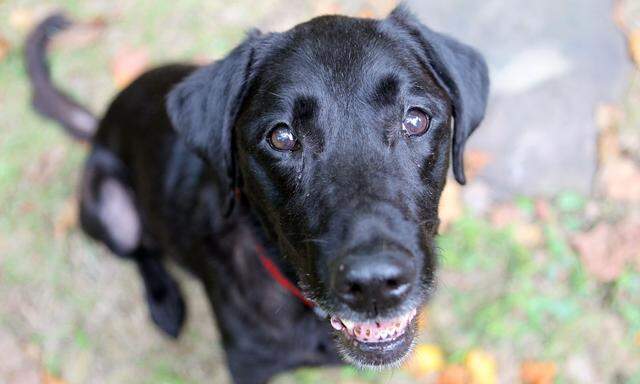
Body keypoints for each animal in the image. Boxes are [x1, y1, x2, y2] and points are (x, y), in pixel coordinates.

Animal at [23, 6, 484, 384]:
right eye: (281, 137)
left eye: (415, 119)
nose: (375, 284)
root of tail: (99, 123)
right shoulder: (247, 366)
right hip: (106, 207)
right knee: (141, 253)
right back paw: (165, 303)